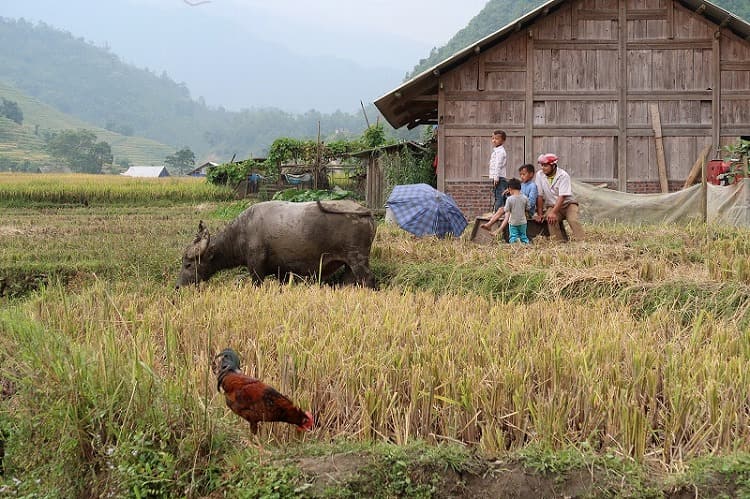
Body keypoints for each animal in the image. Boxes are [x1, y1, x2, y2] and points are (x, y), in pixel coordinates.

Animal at [176, 200, 376, 290]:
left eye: (188, 264)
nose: (177, 286)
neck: (243, 232)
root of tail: (364, 211)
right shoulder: (282, 271)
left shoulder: (256, 268)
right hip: (349, 265)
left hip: (358, 261)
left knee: (368, 280)